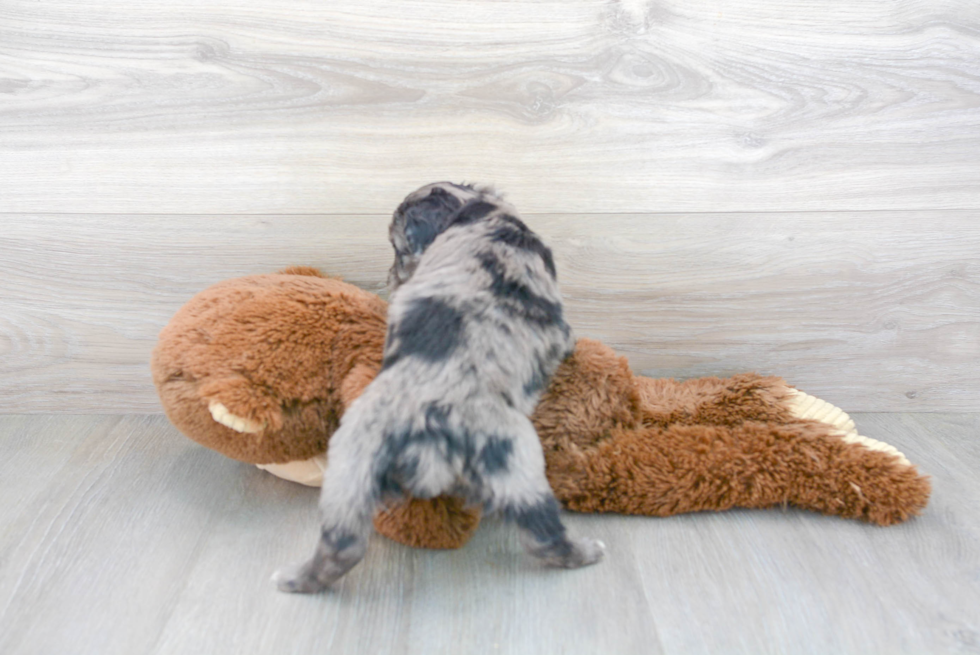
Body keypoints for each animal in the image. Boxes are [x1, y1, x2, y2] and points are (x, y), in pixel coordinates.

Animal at [272, 182, 600, 592]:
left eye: (397, 249)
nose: (390, 278)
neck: (480, 214)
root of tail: (424, 421)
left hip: (350, 465)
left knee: (340, 546)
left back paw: (292, 579)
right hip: (514, 461)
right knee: (544, 535)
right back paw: (589, 552)